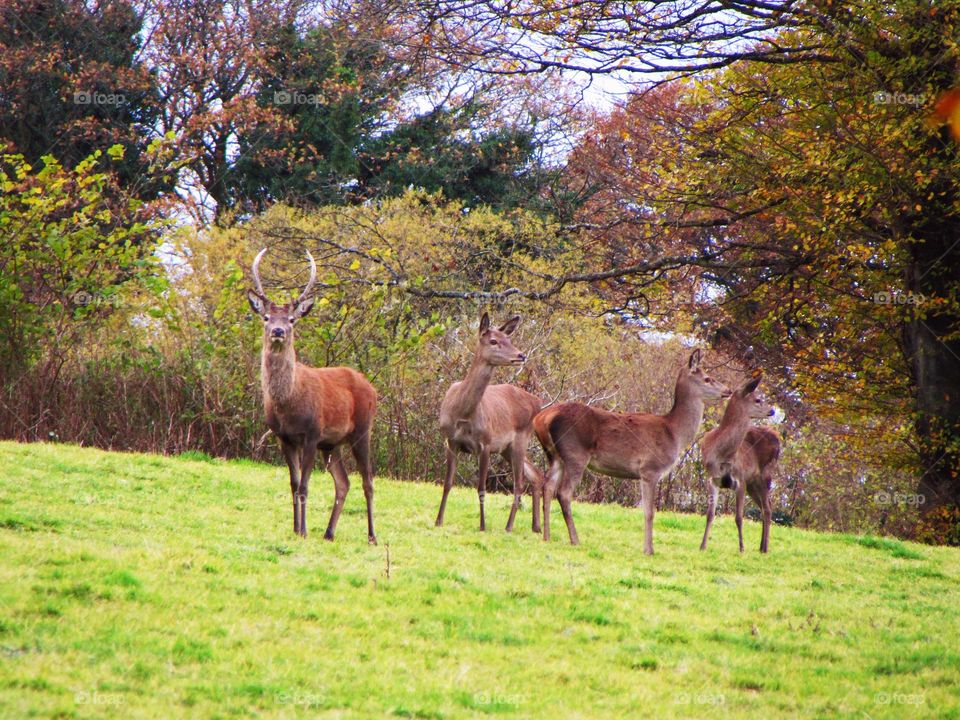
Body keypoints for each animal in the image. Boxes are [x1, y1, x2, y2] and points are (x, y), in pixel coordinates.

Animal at [247, 248, 378, 544]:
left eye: (291, 319)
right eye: (266, 317)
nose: (278, 331)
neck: (288, 405)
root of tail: (372, 388)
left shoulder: (311, 433)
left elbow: (305, 485)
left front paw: (304, 530)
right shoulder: (285, 437)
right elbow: (294, 483)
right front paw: (296, 528)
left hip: (362, 430)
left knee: (368, 481)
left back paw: (372, 536)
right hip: (332, 444)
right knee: (343, 482)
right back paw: (329, 533)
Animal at [435, 312, 544, 534]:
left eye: (508, 339)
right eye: (493, 341)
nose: (521, 355)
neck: (462, 414)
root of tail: (538, 402)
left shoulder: (485, 443)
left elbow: (481, 487)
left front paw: (482, 526)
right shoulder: (450, 441)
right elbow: (448, 483)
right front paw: (438, 521)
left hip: (521, 438)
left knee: (519, 484)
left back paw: (509, 526)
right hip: (507, 449)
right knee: (535, 474)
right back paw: (536, 527)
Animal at [534, 349, 730, 553]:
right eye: (707, 378)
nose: (728, 390)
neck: (674, 434)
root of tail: (541, 418)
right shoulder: (651, 469)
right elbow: (650, 512)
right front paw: (649, 550)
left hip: (555, 455)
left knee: (548, 486)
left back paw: (547, 536)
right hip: (575, 454)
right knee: (563, 493)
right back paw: (575, 539)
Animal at [700, 373, 781, 553]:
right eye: (757, 399)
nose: (772, 410)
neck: (722, 454)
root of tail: (776, 437)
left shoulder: (740, 479)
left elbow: (738, 517)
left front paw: (742, 548)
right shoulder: (712, 479)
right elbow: (710, 514)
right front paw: (702, 546)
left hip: (765, 475)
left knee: (767, 509)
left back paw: (765, 548)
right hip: (753, 483)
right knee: (765, 507)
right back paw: (761, 546)